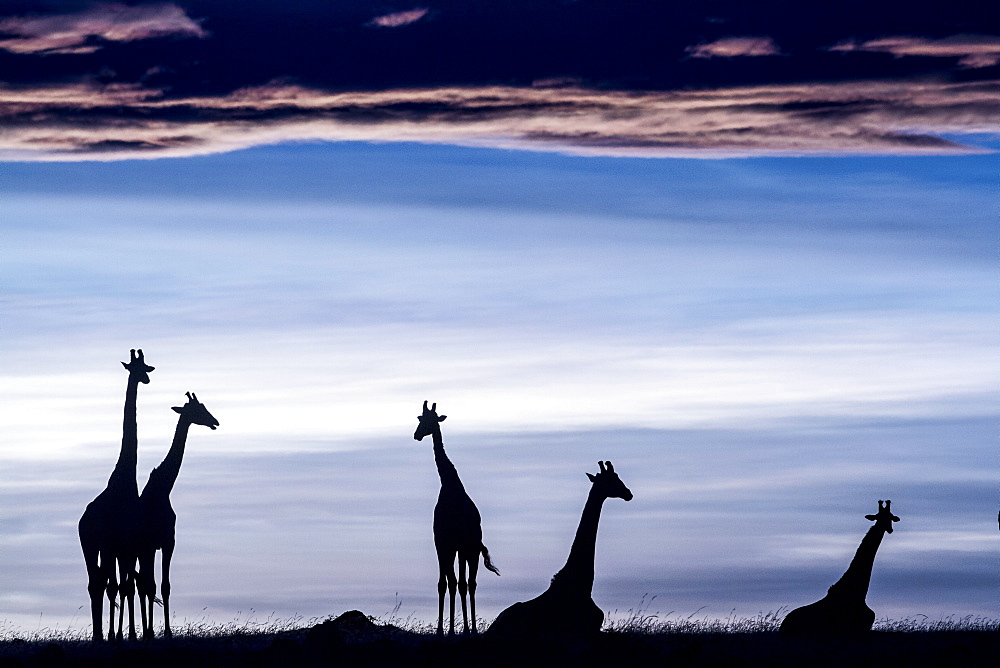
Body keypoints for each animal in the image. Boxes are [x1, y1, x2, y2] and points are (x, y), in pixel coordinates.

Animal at [78, 348, 153, 640]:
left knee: (97, 582)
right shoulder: (122, 544)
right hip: (99, 546)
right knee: (103, 583)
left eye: (146, 366)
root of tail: (83, 521)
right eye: (136, 368)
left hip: (95, 546)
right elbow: (123, 587)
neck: (126, 478)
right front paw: (122, 634)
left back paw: (100, 635)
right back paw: (103, 635)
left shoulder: (124, 545)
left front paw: (122, 634)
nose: (146, 379)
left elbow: (124, 586)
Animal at [136, 392, 218, 640]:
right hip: (137, 550)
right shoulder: (149, 544)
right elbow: (152, 586)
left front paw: (167, 632)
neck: (162, 490)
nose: (215, 421)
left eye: (204, 406)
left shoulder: (168, 542)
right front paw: (153, 631)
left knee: (142, 583)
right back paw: (143, 630)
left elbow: (165, 586)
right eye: (197, 410)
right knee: (140, 585)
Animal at [410, 402, 500, 636]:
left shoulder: (455, 544)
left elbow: (457, 584)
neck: (450, 488)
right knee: (460, 583)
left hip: (472, 549)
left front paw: (457, 630)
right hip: (461, 550)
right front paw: (443, 630)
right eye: (420, 418)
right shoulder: (442, 543)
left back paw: (473, 629)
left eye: (430, 420)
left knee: (470, 583)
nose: (416, 435)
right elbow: (444, 584)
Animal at [484, 460, 632, 640]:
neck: (582, 584)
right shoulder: (579, 630)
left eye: (617, 476)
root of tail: (492, 627)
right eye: (609, 480)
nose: (628, 493)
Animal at [776, 498, 904, 636]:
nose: (889, 529)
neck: (858, 592)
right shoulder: (858, 629)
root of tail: (782, 627)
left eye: (891, 517)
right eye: (879, 517)